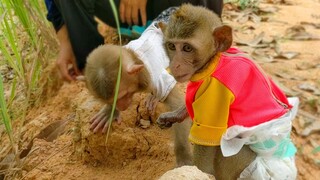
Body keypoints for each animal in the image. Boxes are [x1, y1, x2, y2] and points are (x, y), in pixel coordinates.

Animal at [159, 4, 298, 180]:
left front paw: (197, 171)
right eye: (171, 46)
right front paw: (174, 115)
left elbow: (206, 142)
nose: (175, 65)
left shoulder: (217, 91)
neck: (214, 62)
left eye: (187, 48)